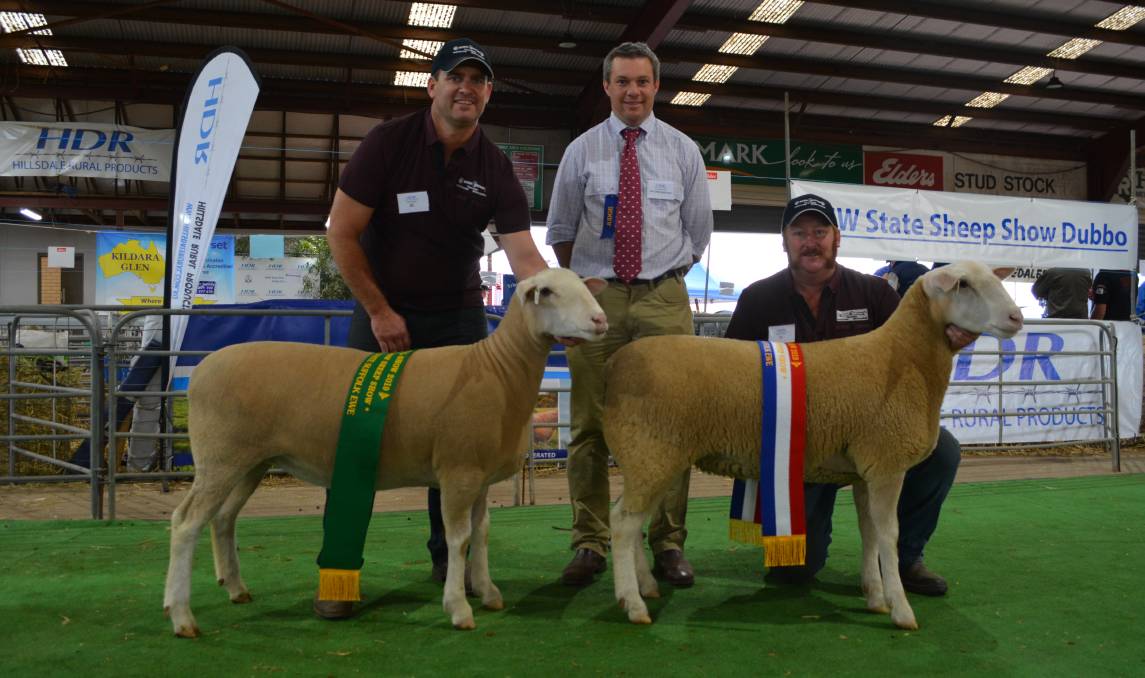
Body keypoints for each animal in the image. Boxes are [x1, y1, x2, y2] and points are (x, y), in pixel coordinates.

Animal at [163, 269, 609, 636]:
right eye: (549, 292)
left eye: (584, 287)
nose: (600, 321)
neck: (498, 370)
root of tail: (200, 370)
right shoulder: (458, 471)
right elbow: (459, 539)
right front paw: (459, 608)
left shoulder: (479, 477)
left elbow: (481, 533)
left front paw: (487, 591)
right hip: (220, 458)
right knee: (186, 523)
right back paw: (181, 616)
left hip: (251, 462)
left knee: (223, 518)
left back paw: (235, 588)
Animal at [604, 261, 1025, 632]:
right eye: (964, 285)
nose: (1017, 318)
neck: (904, 358)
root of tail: (615, 364)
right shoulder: (887, 464)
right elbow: (889, 535)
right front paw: (901, 610)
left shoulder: (865, 471)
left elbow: (870, 532)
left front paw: (875, 596)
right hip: (650, 451)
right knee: (623, 523)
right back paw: (633, 604)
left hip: (653, 458)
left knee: (628, 518)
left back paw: (646, 588)